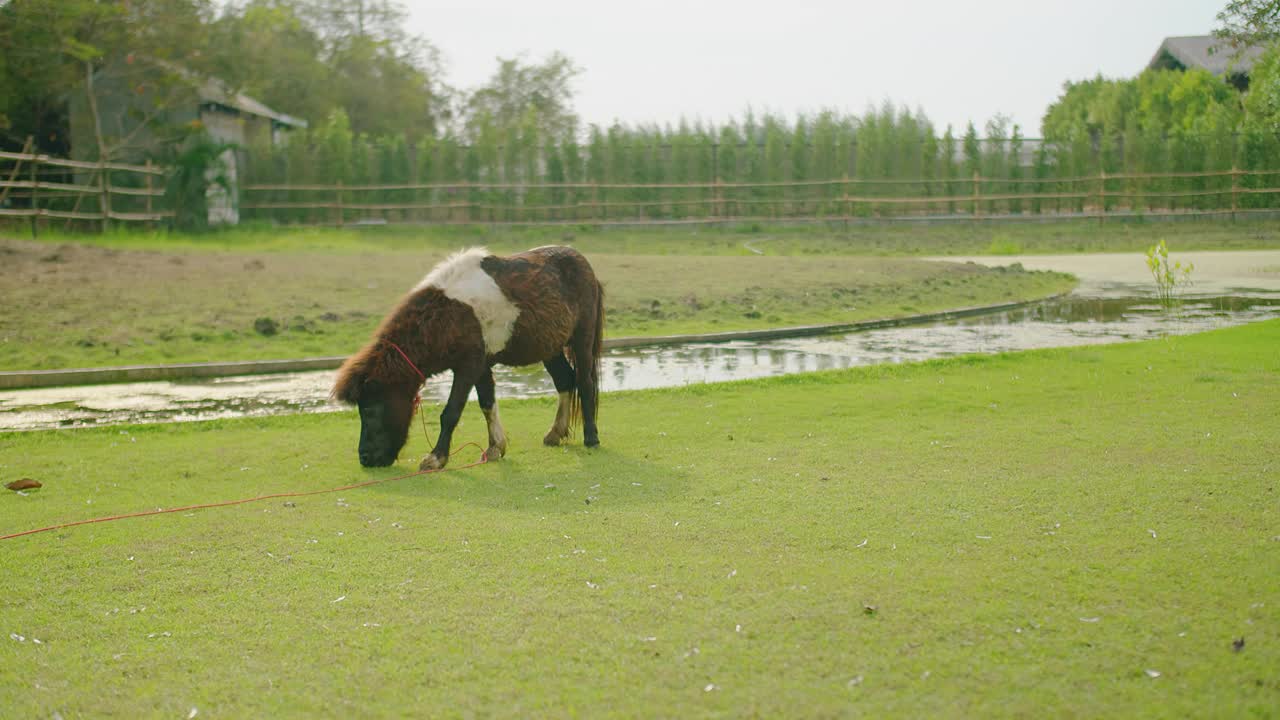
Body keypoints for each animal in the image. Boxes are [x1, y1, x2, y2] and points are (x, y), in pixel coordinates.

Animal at [335, 245, 604, 468]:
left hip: (582, 339)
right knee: (565, 381)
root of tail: (585, 267)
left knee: (585, 383)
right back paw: (556, 433)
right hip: (550, 348)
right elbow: (487, 403)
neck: (450, 314)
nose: (365, 458)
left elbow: (451, 412)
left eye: (369, 409)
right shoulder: (481, 366)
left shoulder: (468, 367)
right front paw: (495, 448)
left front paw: (436, 457)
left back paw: (591, 437)